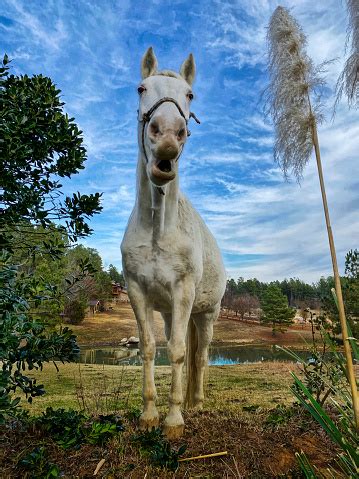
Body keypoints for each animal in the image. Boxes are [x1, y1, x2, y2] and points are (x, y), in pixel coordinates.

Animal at [122, 47, 226, 438]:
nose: (168, 137)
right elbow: (151, 349)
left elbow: (181, 353)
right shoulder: (137, 291)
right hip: (172, 313)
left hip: (206, 313)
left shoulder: (183, 293)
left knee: (201, 354)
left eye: (190, 95)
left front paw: (174, 420)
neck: (157, 230)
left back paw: (195, 402)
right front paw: (150, 414)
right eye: (141, 88)